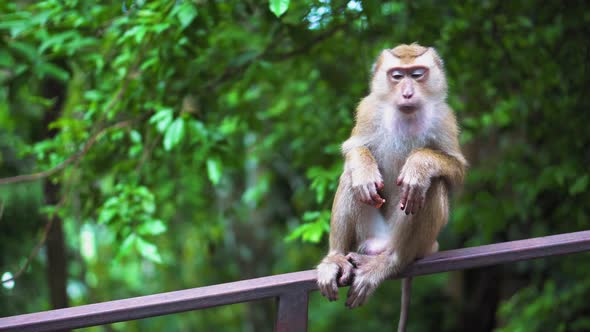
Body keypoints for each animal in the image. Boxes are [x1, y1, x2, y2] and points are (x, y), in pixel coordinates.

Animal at [316, 42, 470, 330]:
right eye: (397, 76)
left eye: (417, 74)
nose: (407, 92)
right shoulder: (368, 108)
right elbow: (353, 150)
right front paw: (364, 169)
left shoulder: (444, 117)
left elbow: (455, 171)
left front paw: (419, 164)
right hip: (368, 232)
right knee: (349, 178)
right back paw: (335, 257)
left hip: (419, 242)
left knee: (430, 186)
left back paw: (392, 262)